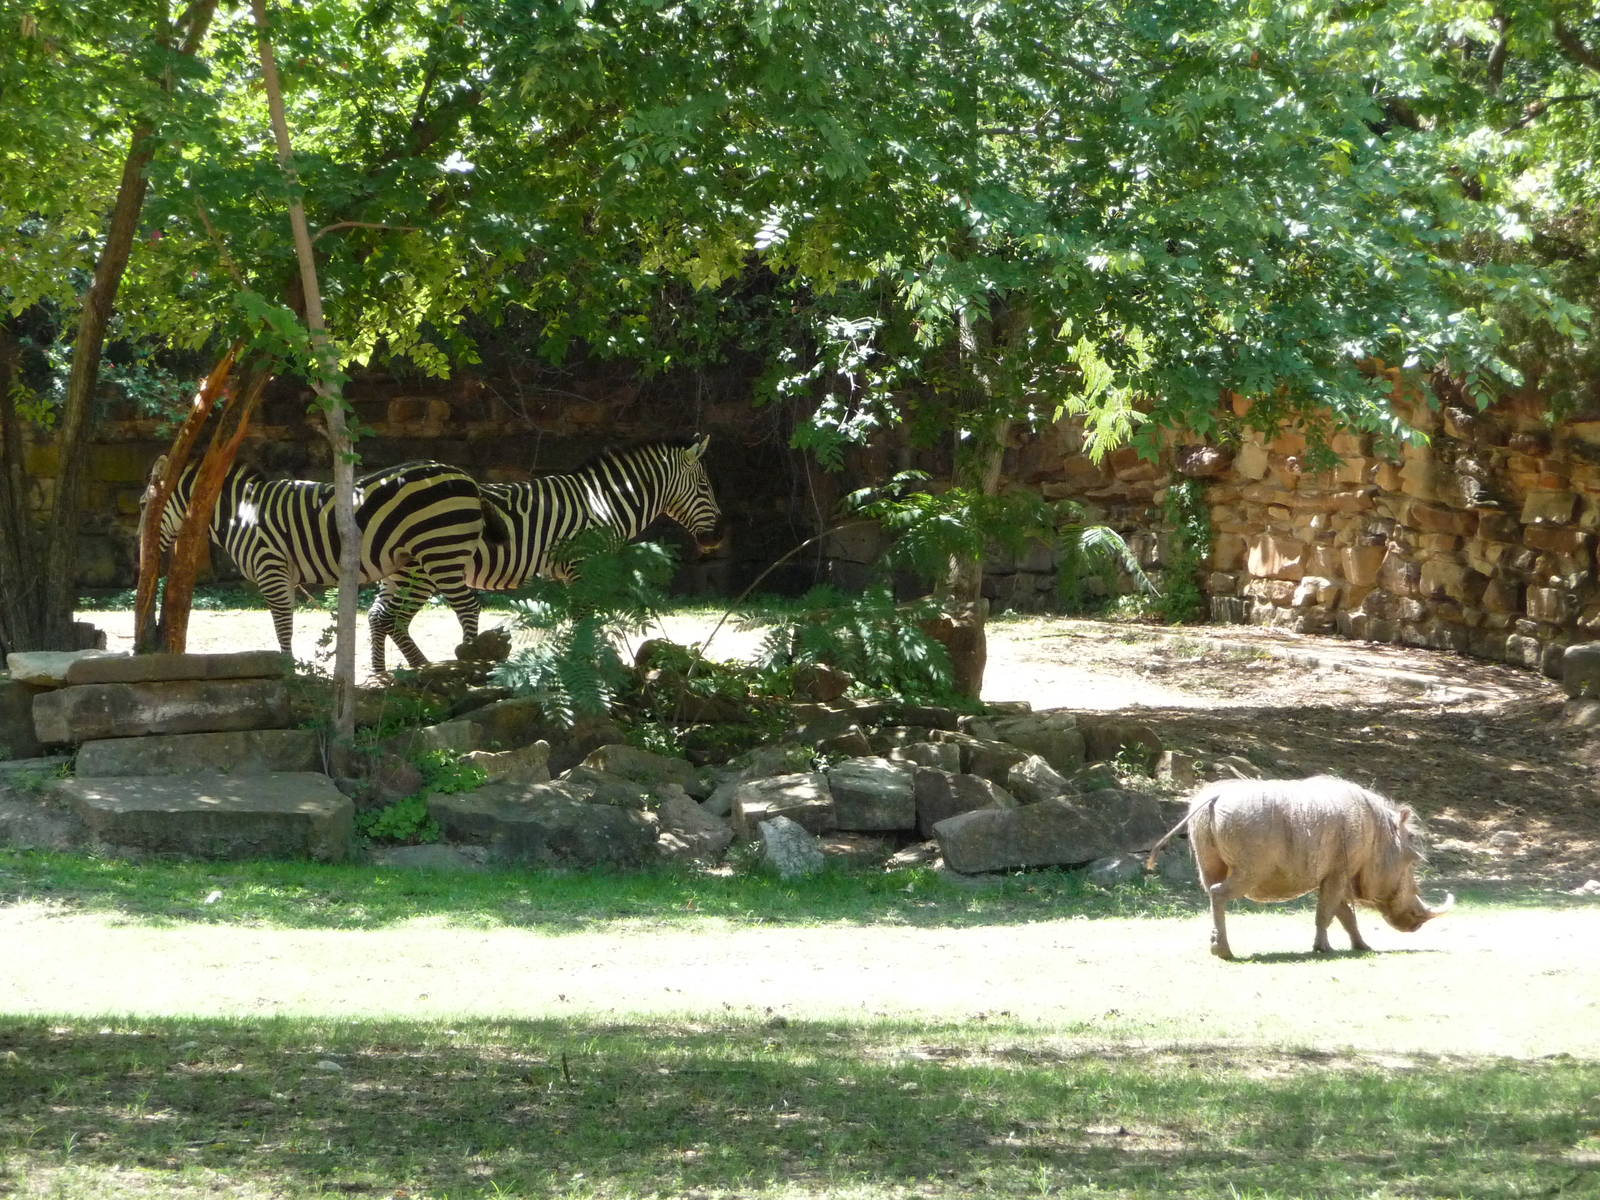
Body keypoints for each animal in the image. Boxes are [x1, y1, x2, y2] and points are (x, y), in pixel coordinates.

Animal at [147, 457, 507, 665]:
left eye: (144, 506)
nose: (143, 559)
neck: (242, 513)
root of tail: (466, 477)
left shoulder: (270, 566)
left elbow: (282, 623)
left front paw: (286, 668)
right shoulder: (284, 574)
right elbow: (285, 621)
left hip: (441, 550)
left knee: (467, 606)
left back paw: (469, 659)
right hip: (423, 559)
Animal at [368, 436, 725, 672]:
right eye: (705, 488)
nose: (719, 537)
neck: (603, 503)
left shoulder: (573, 573)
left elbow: (579, 618)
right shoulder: (583, 565)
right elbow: (584, 617)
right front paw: (585, 661)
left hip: (399, 570)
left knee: (379, 616)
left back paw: (388, 673)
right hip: (422, 569)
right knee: (390, 617)